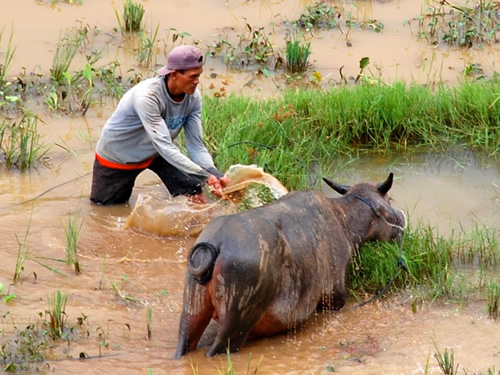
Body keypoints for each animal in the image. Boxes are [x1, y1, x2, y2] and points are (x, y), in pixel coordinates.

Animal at [175, 173, 406, 358]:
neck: (345, 222)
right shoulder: (334, 296)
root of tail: (215, 244)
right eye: (390, 198)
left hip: (192, 310)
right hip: (236, 322)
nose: (403, 220)